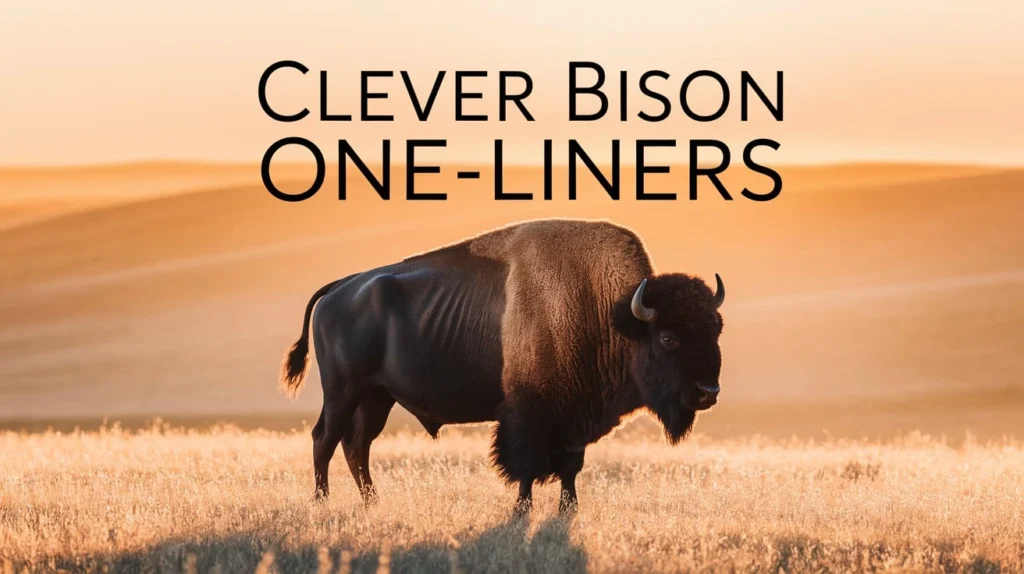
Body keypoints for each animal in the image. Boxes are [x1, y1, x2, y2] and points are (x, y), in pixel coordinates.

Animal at [280, 219, 725, 513]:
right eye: (668, 338)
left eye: (716, 329)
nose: (708, 392)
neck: (610, 314)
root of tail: (340, 287)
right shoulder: (528, 415)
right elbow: (525, 466)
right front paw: (522, 509)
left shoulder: (574, 416)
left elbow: (571, 467)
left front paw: (568, 510)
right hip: (343, 390)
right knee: (324, 439)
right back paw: (321, 503)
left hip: (377, 397)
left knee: (357, 446)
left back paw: (373, 502)